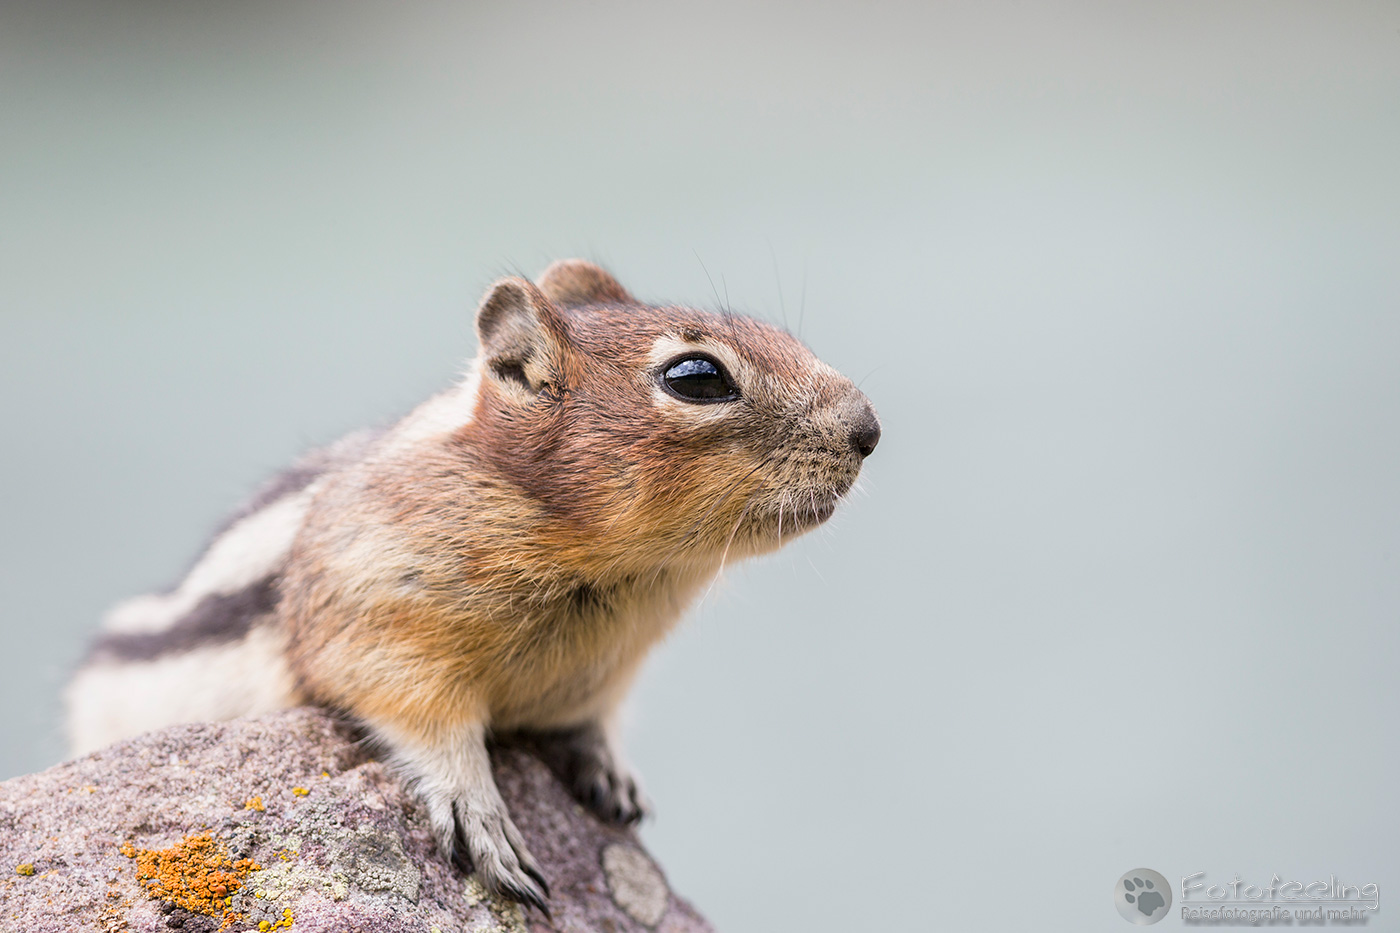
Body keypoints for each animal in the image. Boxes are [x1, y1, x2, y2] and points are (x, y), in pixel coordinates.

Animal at [65, 260, 881, 910]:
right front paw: (477, 810)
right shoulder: (376, 619)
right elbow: (422, 722)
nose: (868, 427)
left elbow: (593, 720)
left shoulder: (603, 671)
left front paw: (612, 768)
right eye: (698, 376)